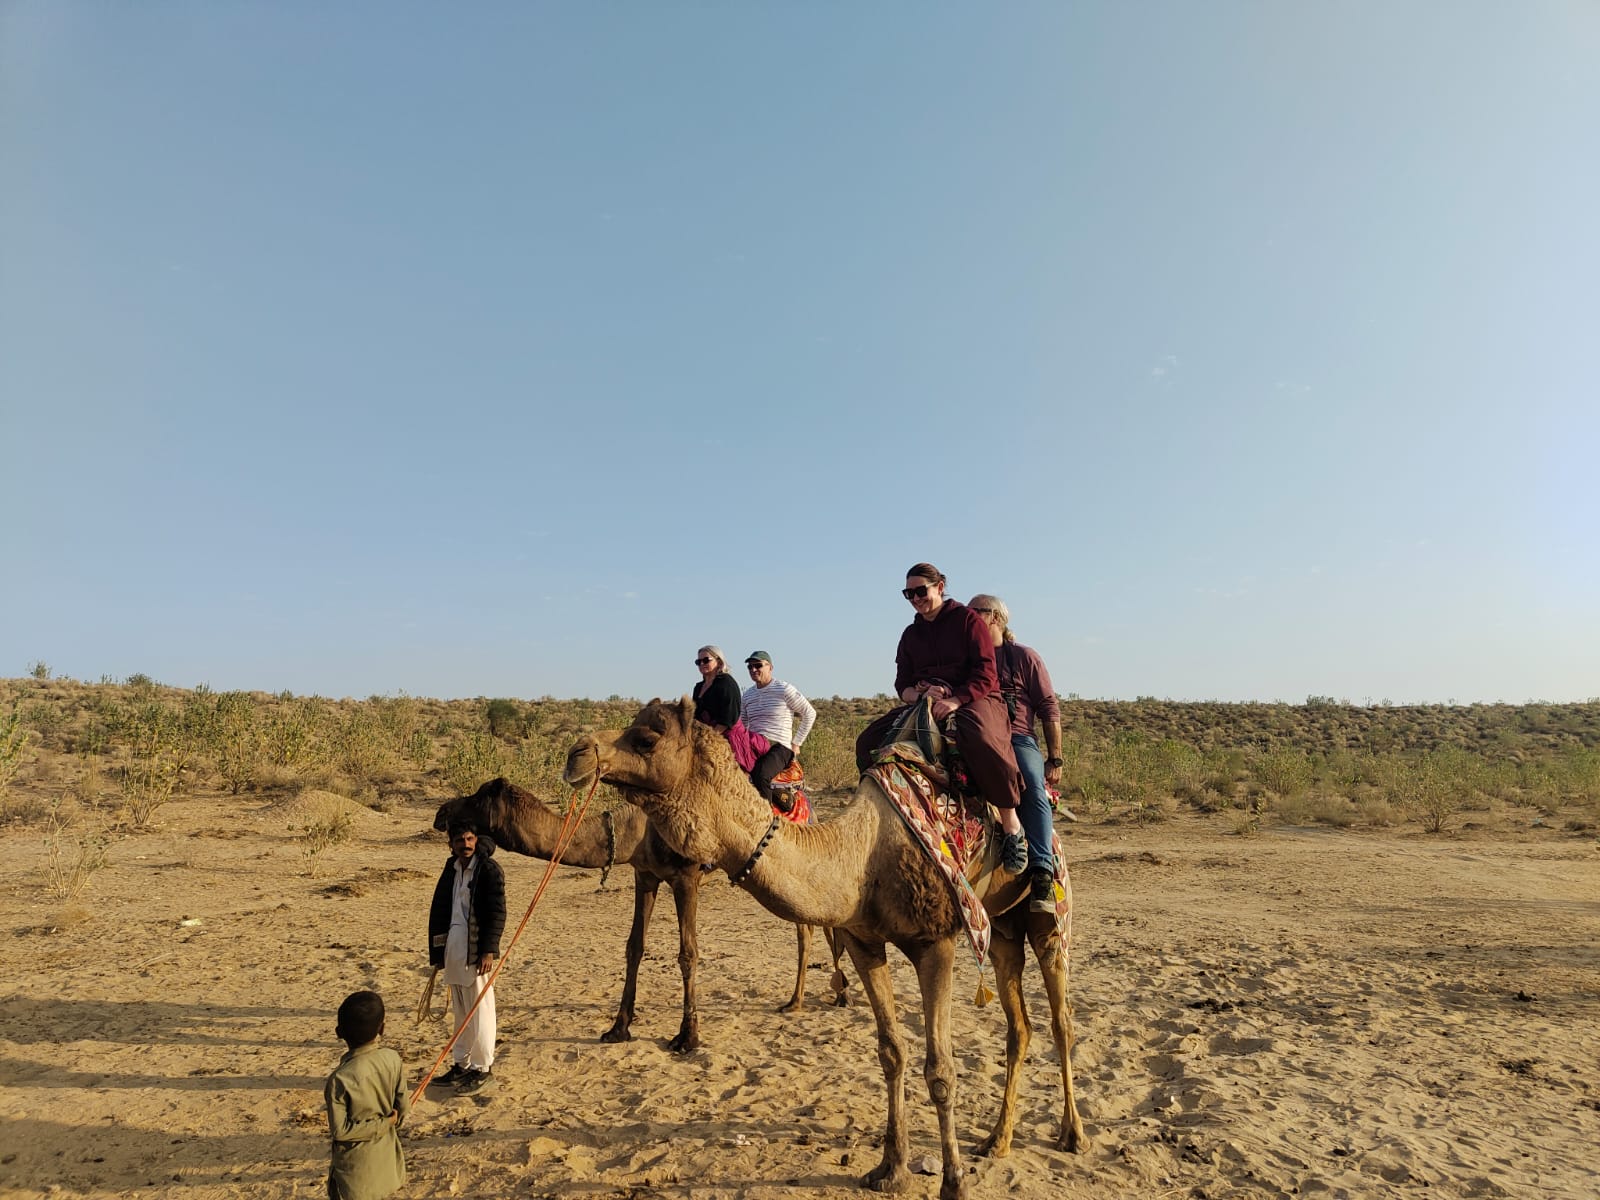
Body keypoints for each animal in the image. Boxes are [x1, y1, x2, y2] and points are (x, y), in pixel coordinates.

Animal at [433, 777, 844, 1054]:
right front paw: (618, 1028)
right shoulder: (645, 875)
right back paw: (813, 998)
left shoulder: (686, 877)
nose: (442, 812)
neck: (639, 829)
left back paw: (806, 1000)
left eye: (477, 797)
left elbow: (688, 952)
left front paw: (687, 1036)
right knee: (811, 928)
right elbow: (634, 947)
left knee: (808, 929)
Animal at [565, 698, 1084, 1200]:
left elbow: (940, 1070)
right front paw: (890, 1169)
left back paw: (1071, 1135)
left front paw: (953, 1184)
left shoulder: (935, 941)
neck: (860, 861)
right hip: (1002, 929)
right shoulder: (863, 942)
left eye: (646, 738)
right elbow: (891, 1052)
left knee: (1061, 1019)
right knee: (1020, 1026)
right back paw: (997, 1140)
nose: (577, 754)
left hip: (1049, 917)